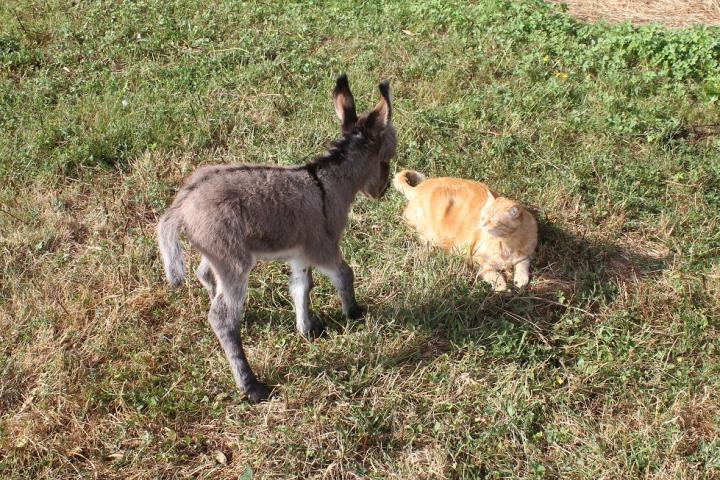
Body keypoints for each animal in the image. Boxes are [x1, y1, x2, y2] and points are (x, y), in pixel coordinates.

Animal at [156, 75, 400, 404]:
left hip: (217, 253)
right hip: (234, 260)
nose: (383, 191)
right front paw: (354, 313)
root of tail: (181, 206)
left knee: (206, 277)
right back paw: (252, 386)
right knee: (221, 318)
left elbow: (301, 287)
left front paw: (308, 330)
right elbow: (344, 274)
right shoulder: (323, 246)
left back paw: (240, 318)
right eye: (387, 158)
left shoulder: (300, 252)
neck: (327, 182)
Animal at [390, 172, 536, 292]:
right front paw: (501, 287)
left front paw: (521, 279)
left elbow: (523, 263)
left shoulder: (526, 253)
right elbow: (493, 274)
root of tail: (418, 188)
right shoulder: (477, 258)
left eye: (492, 221)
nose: (482, 224)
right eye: (483, 217)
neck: (507, 243)